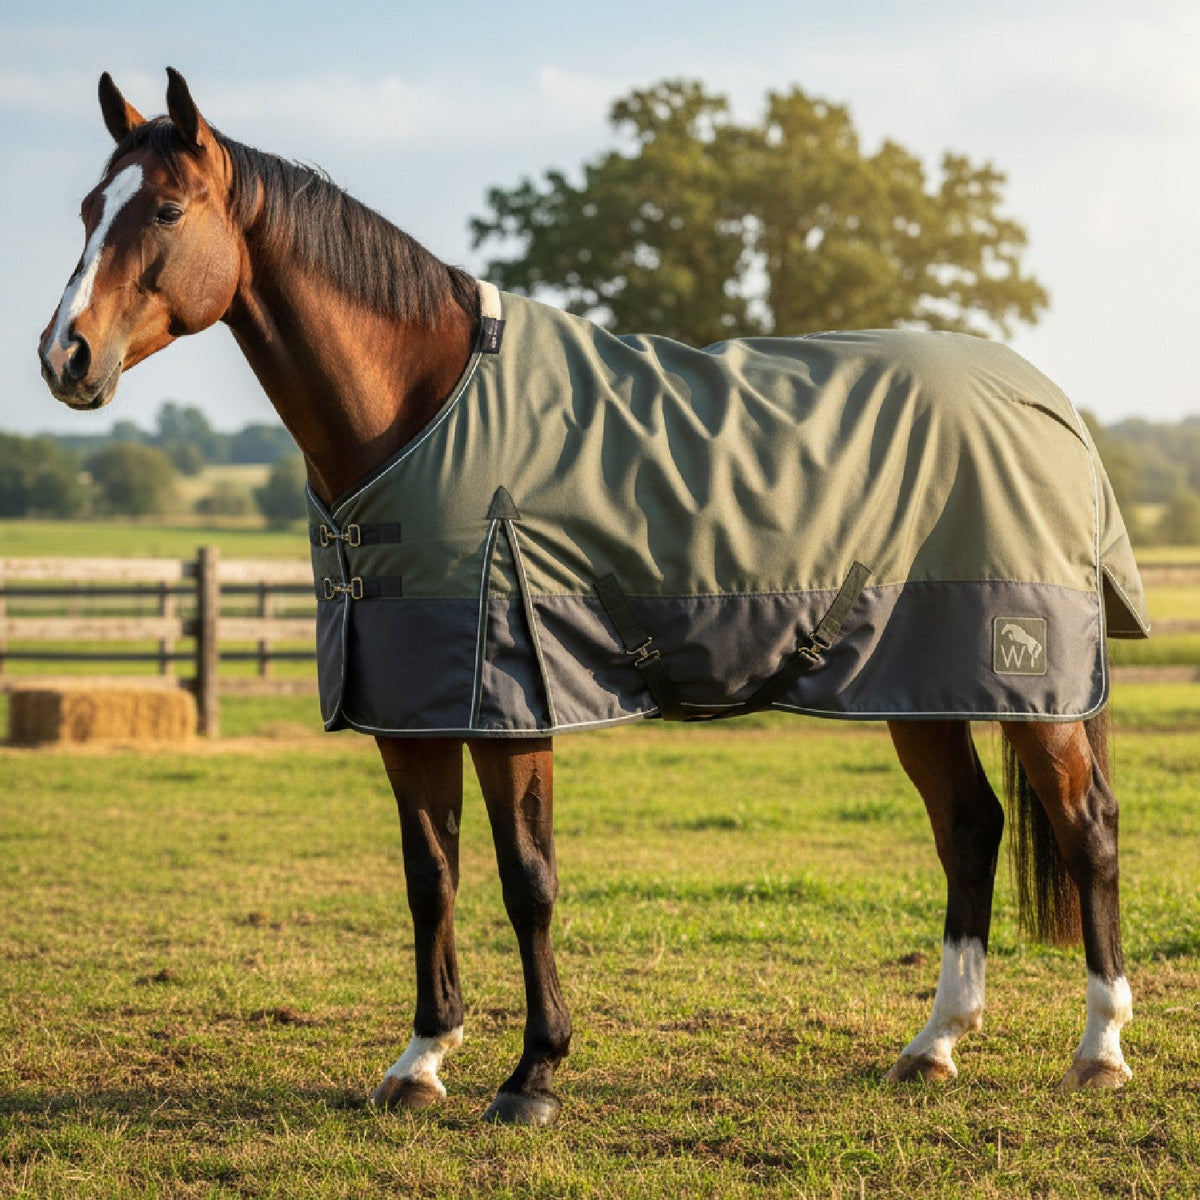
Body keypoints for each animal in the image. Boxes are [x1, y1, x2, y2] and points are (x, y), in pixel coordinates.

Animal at [39, 69, 1142, 1126]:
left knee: (1086, 826)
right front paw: (420, 1061)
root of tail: (1048, 401)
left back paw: (1099, 1051)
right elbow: (429, 879)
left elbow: (527, 882)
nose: (64, 357)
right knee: (970, 828)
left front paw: (533, 1073)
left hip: (1028, 682)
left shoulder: (513, 701)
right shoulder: (410, 706)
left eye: (166, 210)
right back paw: (935, 1045)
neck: (423, 408)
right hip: (914, 683)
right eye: (89, 207)